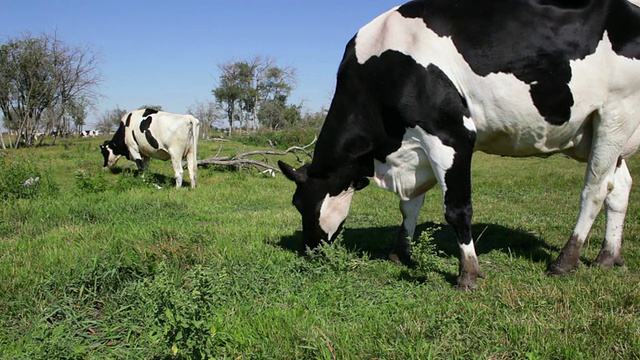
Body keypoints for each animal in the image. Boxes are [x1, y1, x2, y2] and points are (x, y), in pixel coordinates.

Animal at [278, 0, 640, 288]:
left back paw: (565, 261)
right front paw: (400, 252)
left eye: (300, 203)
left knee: (595, 189)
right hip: (593, 132)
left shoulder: (450, 134)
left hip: (615, 113)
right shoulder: (416, 148)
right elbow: (409, 206)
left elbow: (457, 209)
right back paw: (608, 256)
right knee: (620, 186)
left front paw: (468, 273)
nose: (307, 251)